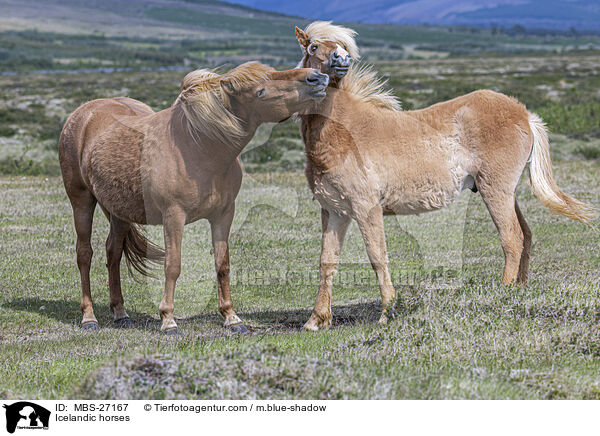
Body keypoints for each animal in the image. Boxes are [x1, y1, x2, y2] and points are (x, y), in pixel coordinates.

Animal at [60, 62, 328, 334]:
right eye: (260, 91)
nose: (317, 78)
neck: (200, 147)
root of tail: (84, 113)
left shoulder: (223, 215)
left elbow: (222, 265)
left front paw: (232, 318)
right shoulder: (173, 216)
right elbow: (173, 266)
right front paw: (168, 320)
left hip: (120, 211)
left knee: (112, 253)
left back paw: (120, 313)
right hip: (81, 201)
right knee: (84, 255)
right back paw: (89, 317)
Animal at [292, 22, 592, 330]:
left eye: (342, 46)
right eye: (313, 47)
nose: (342, 60)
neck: (343, 131)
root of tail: (524, 114)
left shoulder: (366, 208)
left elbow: (377, 257)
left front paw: (387, 312)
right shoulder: (335, 211)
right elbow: (327, 261)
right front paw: (316, 319)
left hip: (495, 190)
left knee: (512, 238)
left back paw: (503, 293)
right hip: (506, 193)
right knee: (526, 234)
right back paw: (519, 290)